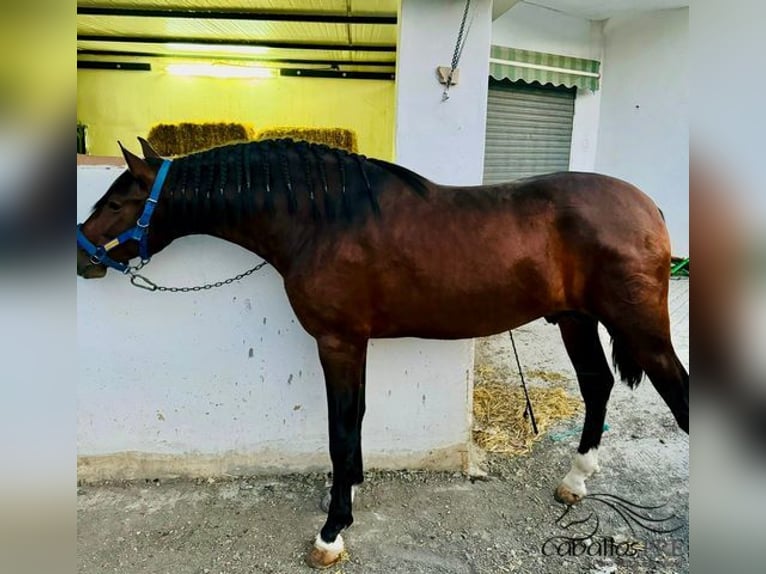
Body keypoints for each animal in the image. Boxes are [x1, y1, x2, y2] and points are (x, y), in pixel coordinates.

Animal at [76, 140, 688, 572]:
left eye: (116, 201)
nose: (82, 251)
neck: (321, 219)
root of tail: (648, 206)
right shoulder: (355, 343)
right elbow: (356, 422)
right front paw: (350, 491)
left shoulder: (337, 340)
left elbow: (340, 428)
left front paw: (331, 531)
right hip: (576, 320)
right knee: (597, 385)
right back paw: (576, 480)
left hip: (641, 329)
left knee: (677, 395)